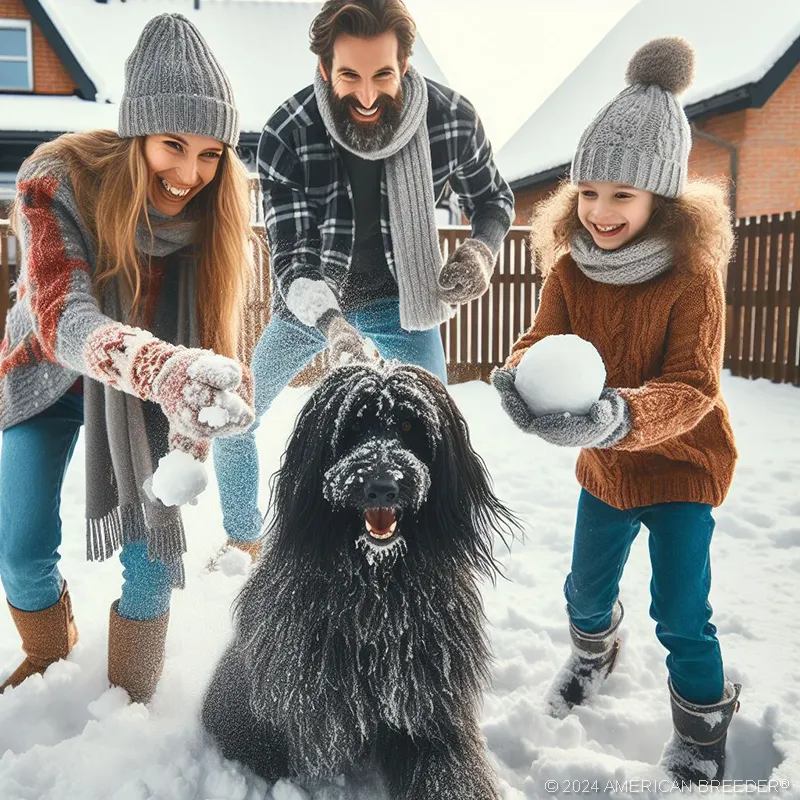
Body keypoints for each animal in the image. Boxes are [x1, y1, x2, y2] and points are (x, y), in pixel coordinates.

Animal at [202, 364, 520, 800]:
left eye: (409, 425)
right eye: (353, 426)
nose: (382, 487)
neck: (377, 590)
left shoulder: (430, 707)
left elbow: (448, 770)